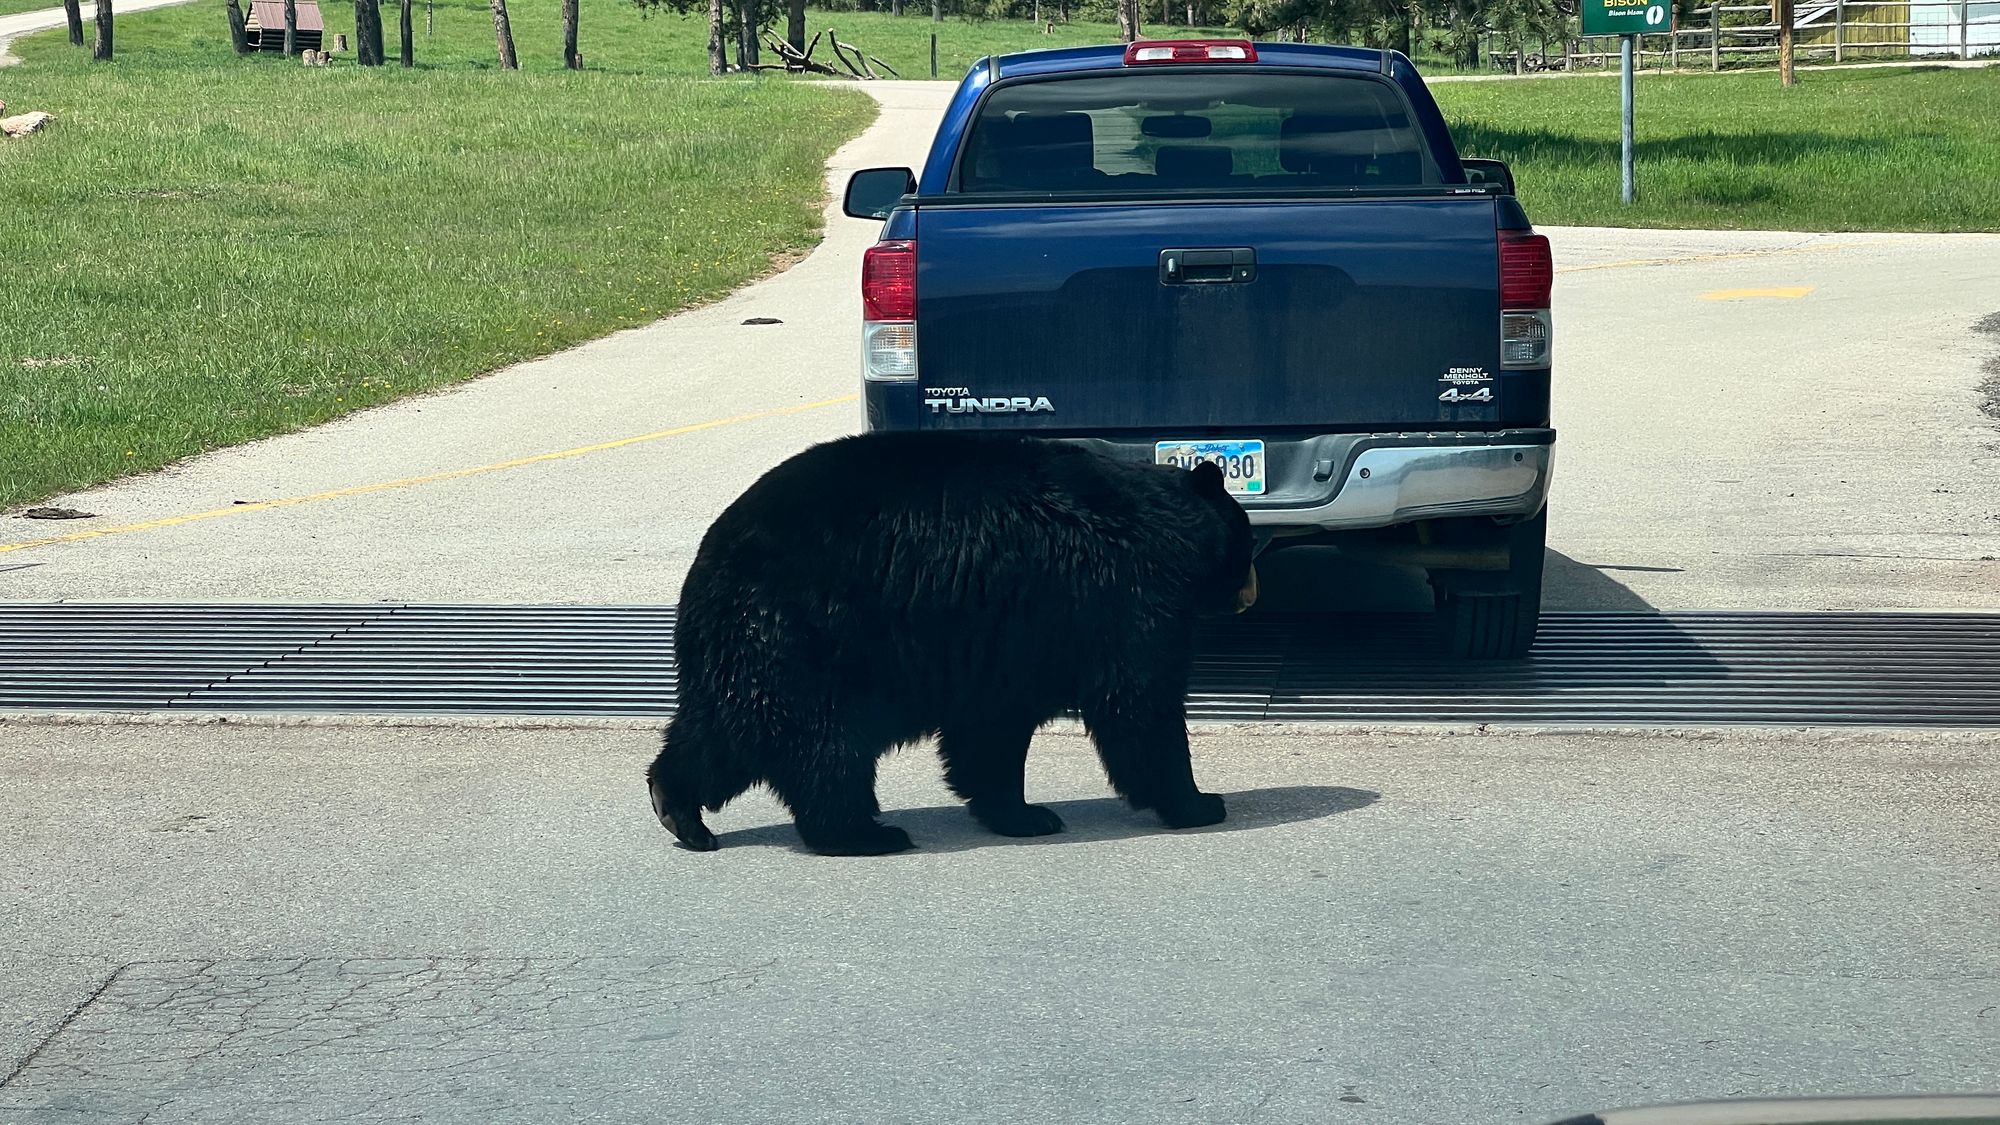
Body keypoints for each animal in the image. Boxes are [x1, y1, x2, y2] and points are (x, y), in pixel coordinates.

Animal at [645, 429, 1258, 856]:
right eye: (1247, 537)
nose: (1252, 591)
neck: (1162, 526)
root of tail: (710, 560)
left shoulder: (1006, 642)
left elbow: (990, 730)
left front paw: (1021, 814)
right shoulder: (1120, 599)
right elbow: (1138, 702)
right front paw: (1198, 802)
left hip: (750, 651)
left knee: (726, 727)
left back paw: (677, 808)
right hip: (812, 640)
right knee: (822, 743)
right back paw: (864, 833)